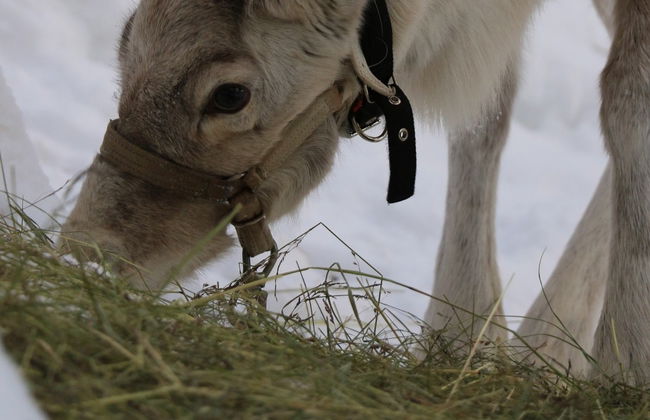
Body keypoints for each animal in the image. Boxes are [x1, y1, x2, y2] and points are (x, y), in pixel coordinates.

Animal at [62, 0, 650, 386]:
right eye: (125, 38)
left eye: (229, 95)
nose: (87, 250)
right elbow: (485, 114)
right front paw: (463, 339)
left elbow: (628, 98)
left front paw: (622, 375)